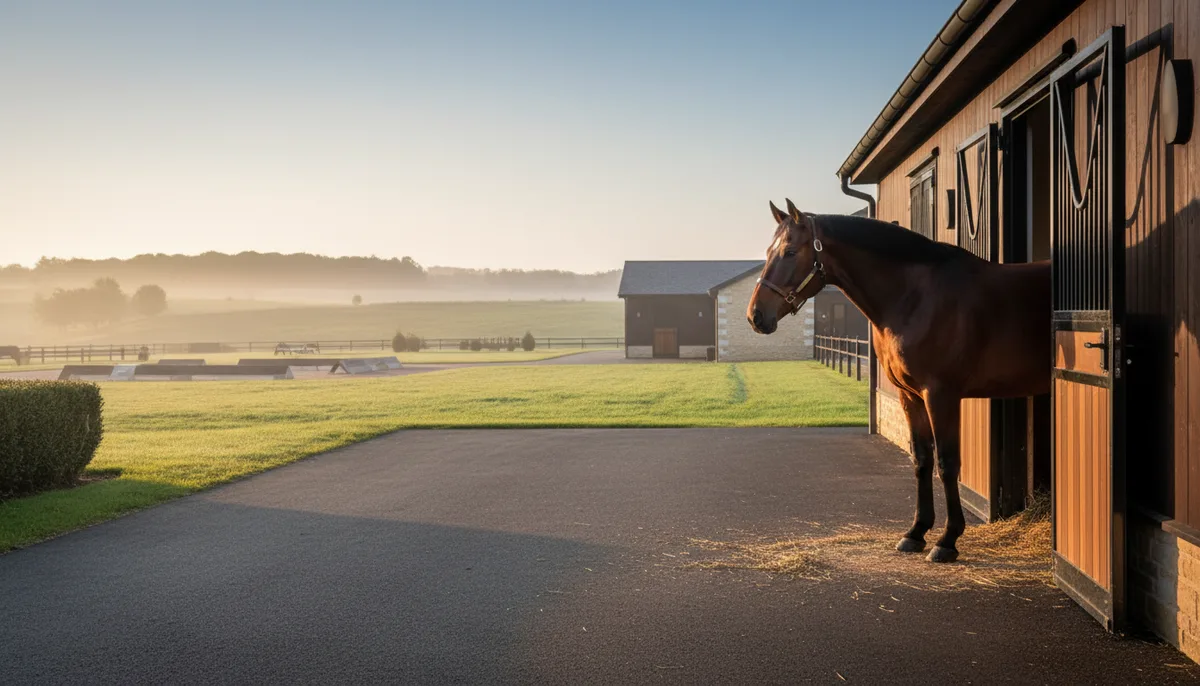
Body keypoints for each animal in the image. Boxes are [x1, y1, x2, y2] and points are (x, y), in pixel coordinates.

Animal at [747, 199, 1050, 563]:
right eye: (769, 251)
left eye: (790, 251)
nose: (755, 316)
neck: (917, 297)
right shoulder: (911, 396)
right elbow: (921, 460)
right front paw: (916, 532)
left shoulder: (941, 395)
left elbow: (947, 463)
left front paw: (947, 540)